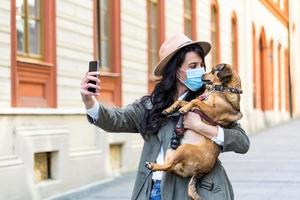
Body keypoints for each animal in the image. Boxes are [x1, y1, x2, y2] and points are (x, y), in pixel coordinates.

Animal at [146, 63, 244, 200]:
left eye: (213, 71)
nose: (202, 75)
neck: (222, 89)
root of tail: (200, 172)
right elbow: (181, 101)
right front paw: (170, 109)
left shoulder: (213, 113)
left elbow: (195, 101)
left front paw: (184, 109)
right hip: (172, 151)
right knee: (170, 166)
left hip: (183, 149)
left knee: (169, 166)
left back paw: (152, 165)